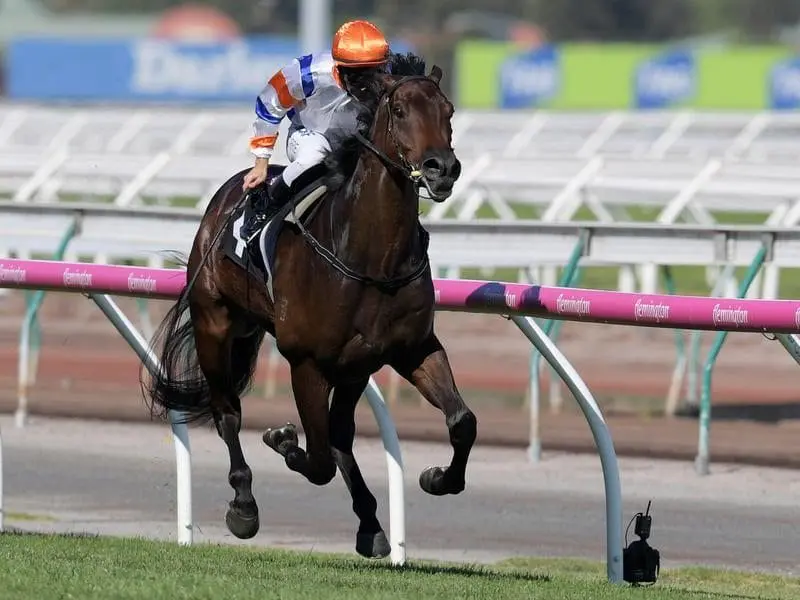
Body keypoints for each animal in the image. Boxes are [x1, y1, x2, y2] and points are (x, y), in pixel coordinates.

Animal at [139, 54, 476, 560]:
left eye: (449, 111)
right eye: (399, 111)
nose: (442, 168)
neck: (370, 256)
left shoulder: (410, 349)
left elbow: (462, 422)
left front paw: (438, 477)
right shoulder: (306, 362)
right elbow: (315, 460)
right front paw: (281, 439)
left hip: (351, 367)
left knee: (339, 438)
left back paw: (370, 524)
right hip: (214, 324)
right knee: (228, 413)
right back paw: (244, 505)